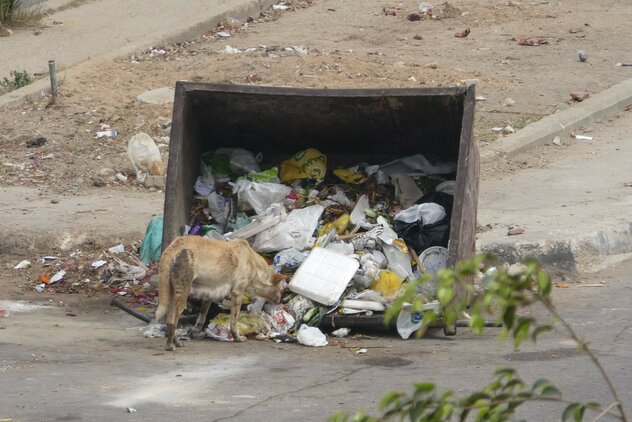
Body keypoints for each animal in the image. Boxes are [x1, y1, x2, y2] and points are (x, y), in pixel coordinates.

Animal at [153, 236, 284, 352]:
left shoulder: (209, 294)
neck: (253, 262)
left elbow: (202, 316)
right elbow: (234, 321)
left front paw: (195, 332)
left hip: (172, 293)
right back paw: (170, 345)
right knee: (172, 320)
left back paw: (176, 342)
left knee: (170, 319)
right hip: (182, 294)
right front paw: (236, 337)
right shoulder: (237, 293)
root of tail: (174, 246)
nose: (280, 300)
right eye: (280, 288)